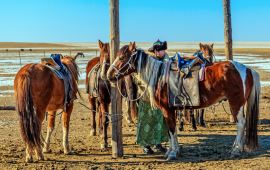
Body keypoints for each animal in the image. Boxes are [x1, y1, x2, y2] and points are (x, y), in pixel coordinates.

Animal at [106, 41, 260, 160]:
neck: (160, 77)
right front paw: (172, 150)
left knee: (241, 124)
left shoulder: (167, 110)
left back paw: (236, 150)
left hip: (236, 103)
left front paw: (173, 153)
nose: (109, 75)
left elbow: (171, 129)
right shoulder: (170, 110)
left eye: (122, 57)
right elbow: (170, 131)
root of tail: (247, 69)